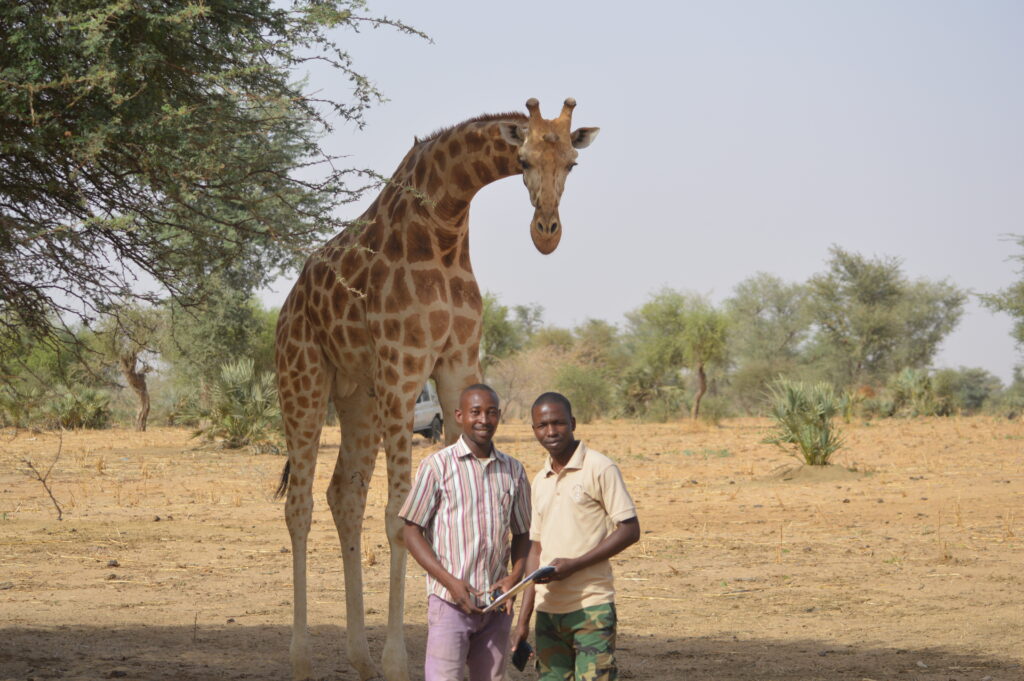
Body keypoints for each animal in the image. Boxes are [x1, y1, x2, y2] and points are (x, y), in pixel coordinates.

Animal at [274, 97, 599, 681]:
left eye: (572, 163)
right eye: (522, 159)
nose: (546, 233)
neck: (444, 227)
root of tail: (287, 307)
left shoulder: (457, 363)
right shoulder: (403, 366)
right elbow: (399, 515)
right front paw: (400, 661)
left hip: (357, 394)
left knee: (343, 494)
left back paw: (359, 659)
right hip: (304, 377)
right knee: (300, 503)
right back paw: (303, 658)